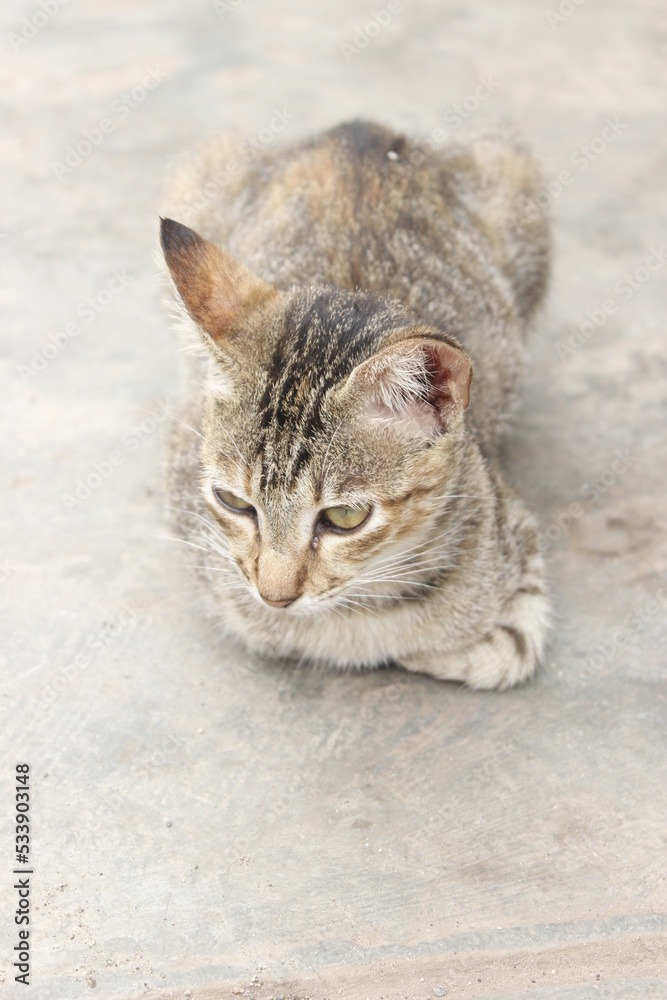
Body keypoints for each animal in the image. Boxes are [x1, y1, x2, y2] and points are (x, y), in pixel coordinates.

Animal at [159, 119, 552, 688]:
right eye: (233, 502)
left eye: (344, 518)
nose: (274, 597)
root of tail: (359, 128)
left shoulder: (514, 531)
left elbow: (509, 647)